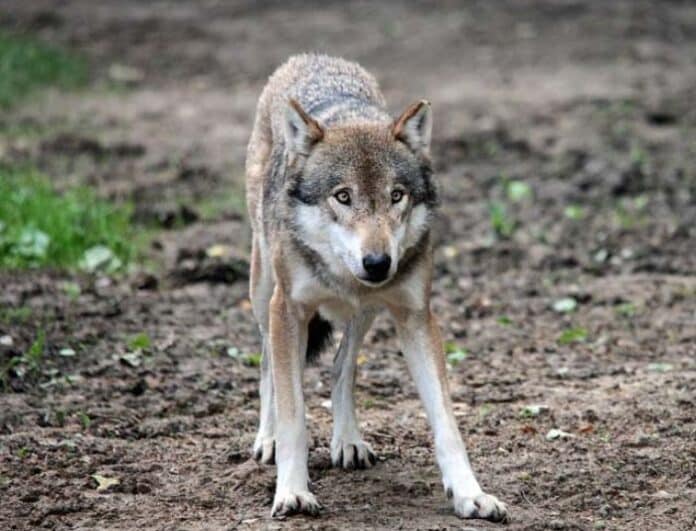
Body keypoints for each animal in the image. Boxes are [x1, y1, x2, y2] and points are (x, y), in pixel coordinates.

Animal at [245, 53, 508, 523]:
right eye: (343, 196)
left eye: (396, 195)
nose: (378, 262)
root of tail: (311, 56)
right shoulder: (288, 310)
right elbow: (295, 414)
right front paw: (292, 492)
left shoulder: (416, 316)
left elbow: (447, 423)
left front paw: (470, 494)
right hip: (263, 292)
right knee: (267, 365)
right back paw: (267, 438)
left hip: (364, 312)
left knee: (342, 367)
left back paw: (348, 441)